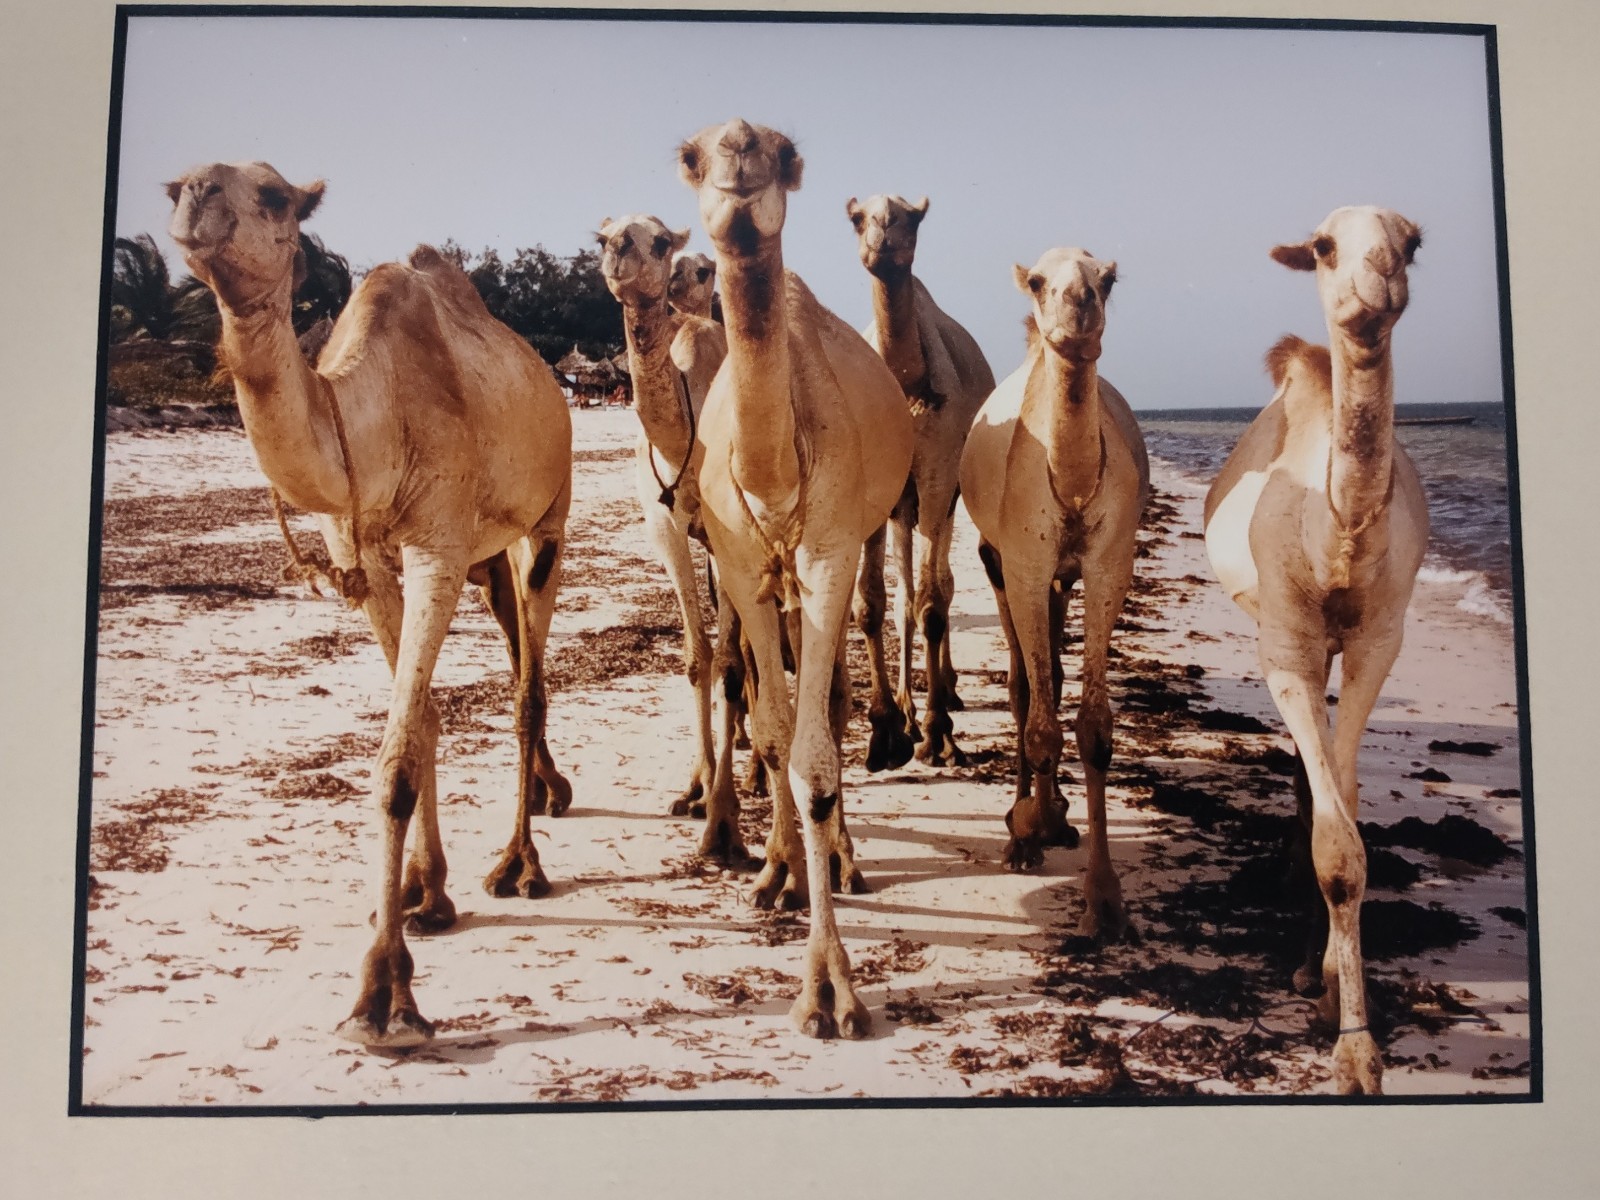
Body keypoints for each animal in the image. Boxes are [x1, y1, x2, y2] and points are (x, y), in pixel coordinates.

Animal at [165, 161, 573, 1047]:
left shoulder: (435, 551)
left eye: (274, 196)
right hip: (490, 552)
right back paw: (540, 801)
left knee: (529, 683)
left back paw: (521, 864)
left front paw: (384, 994)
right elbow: (419, 726)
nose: (198, 194)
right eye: (173, 187)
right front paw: (426, 893)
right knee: (514, 647)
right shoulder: (373, 564)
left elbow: (392, 759)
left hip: (549, 516)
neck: (373, 423)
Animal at [678, 118, 914, 1038]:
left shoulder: (828, 553)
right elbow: (775, 738)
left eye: (783, 151)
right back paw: (782, 864)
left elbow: (815, 758)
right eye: (691, 154)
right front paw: (774, 870)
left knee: (840, 698)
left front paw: (830, 989)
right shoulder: (743, 566)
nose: (741, 144)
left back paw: (840, 854)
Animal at [847, 194, 996, 767]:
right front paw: (886, 731)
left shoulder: (936, 477)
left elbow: (935, 600)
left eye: (912, 217)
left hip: (945, 496)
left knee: (940, 588)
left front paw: (938, 734)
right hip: (901, 507)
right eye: (856, 217)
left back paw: (943, 698)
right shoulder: (876, 485)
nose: (884, 230)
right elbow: (873, 603)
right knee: (906, 597)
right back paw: (910, 712)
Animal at [959, 248, 1149, 940]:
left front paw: (1106, 899)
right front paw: (1027, 829)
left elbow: (1093, 726)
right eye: (1040, 281)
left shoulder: (1108, 565)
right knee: (1023, 688)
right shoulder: (1022, 563)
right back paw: (1027, 823)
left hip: (1062, 583)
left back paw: (1058, 813)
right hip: (999, 566)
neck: (1069, 481)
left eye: (1109, 279)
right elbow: (1037, 716)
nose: (1079, 303)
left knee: (1054, 680)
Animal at [1203, 206, 1429, 1095]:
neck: (1339, 536)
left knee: (1325, 780)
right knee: (1309, 784)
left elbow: (1350, 820)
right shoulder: (1288, 643)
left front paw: (1343, 1004)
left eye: (1412, 242)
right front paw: (1354, 1048)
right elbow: (1334, 841)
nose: (1380, 280)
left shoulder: (1376, 641)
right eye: (1326, 246)